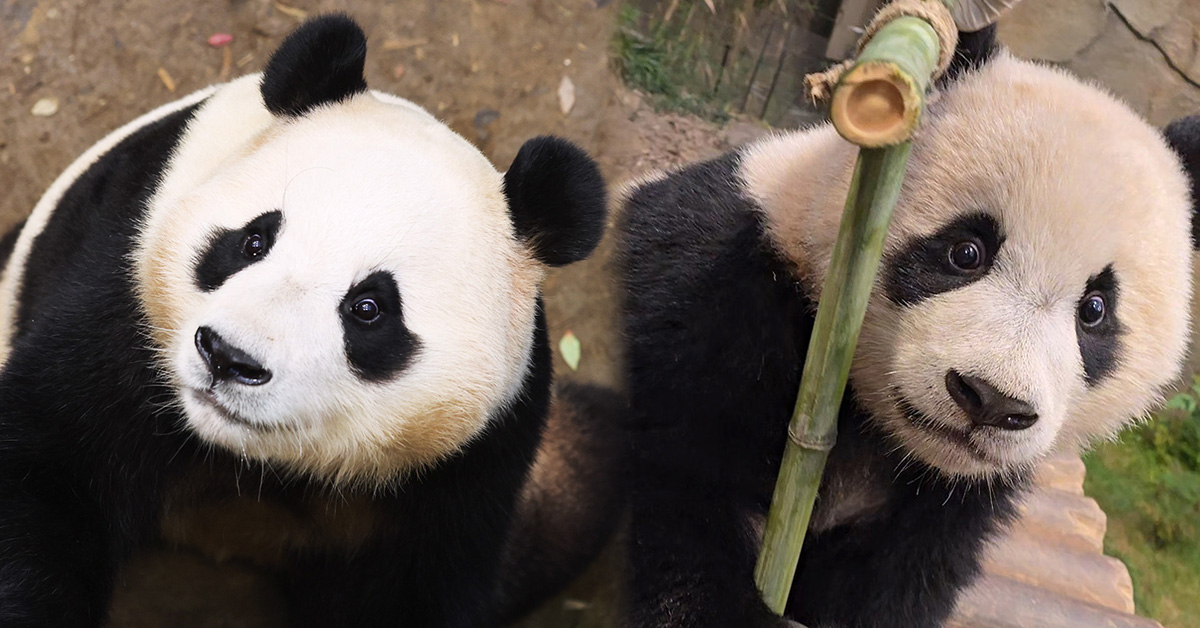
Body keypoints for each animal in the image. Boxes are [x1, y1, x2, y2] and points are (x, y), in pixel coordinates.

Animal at [0, 14, 624, 628]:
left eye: (368, 308)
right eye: (252, 242)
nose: (228, 357)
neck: (246, 461)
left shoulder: (468, 464)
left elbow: (413, 589)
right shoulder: (124, 293)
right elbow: (45, 475)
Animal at [614, 24, 1200, 628]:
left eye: (1095, 310)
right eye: (965, 252)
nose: (991, 400)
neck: (872, 426)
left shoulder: (944, 506)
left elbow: (893, 587)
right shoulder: (709, 300)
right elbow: (676, 495)